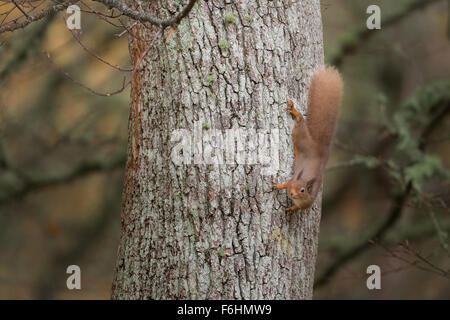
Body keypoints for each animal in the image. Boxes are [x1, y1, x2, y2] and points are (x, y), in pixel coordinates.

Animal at [272, 65, 342, 212]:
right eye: (295, 186)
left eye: (303, 190)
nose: (292, 193)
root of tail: (321, 147)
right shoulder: (291, 182)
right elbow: (286, 184)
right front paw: (278, 185)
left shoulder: (307, 203)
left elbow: (298, 208)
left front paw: (291, 210)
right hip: (301, 135)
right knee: (300, 120)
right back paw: (294, 111)